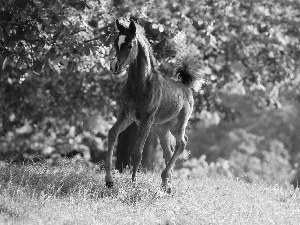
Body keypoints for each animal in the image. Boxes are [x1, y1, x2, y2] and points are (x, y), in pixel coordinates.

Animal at [105, 18, 204, 192]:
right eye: (116, 43)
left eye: (129, 45)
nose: (114, 67)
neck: (141, 85)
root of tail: (186, 87)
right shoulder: (126, 115)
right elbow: (112, 134)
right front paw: (109, 181)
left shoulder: (146, 120)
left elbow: (138, 152)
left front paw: (133, 184)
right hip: (161, 128)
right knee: (168, 151)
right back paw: (166, 186)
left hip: (177, 126)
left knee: (181, 144)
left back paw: (165, 180)